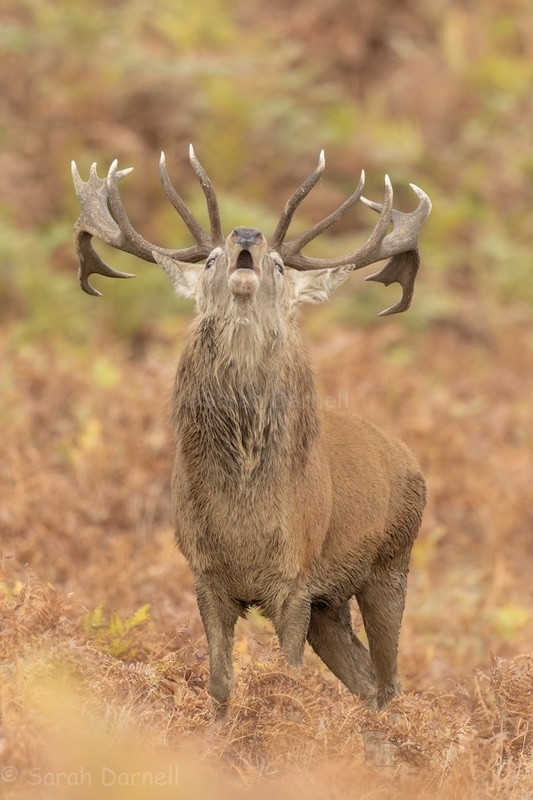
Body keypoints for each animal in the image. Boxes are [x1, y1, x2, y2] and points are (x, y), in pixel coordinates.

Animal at [71, 147, 431, 718]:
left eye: (280, 265)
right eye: (210, 260)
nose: (246, 235)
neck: (242, 518)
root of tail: (412, 463)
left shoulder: (296, 579)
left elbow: (287, 684)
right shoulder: (205, 574)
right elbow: (219, 684)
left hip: (391, 562)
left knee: (391, 679)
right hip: (332, 602)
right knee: (366, 680)